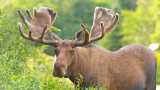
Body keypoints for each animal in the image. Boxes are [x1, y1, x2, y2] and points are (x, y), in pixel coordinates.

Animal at [17, 6, 156, 89]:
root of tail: (154, 54)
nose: (58, 69)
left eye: (72, 51)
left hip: (151, 85)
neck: (81, 76)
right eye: (55, 50)